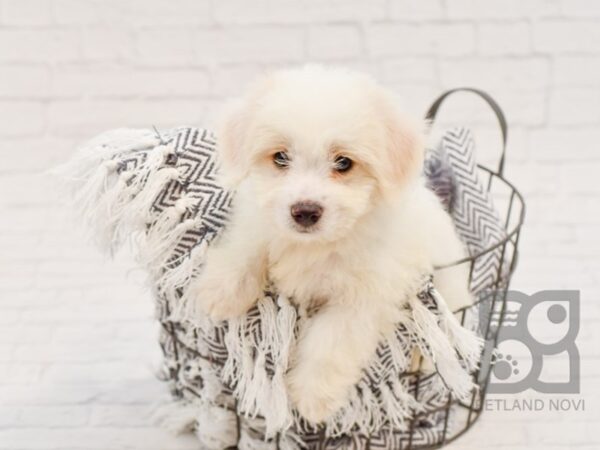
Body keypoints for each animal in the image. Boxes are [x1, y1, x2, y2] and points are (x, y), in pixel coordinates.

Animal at [191, 65, 468, 424]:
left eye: (344, 163)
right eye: (280, 157)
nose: (305, 212)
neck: (317, 245)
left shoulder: (362, 300)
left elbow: (331, 341)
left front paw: (312, 397)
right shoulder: (260, 220)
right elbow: (250, 242)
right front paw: (221, 291)